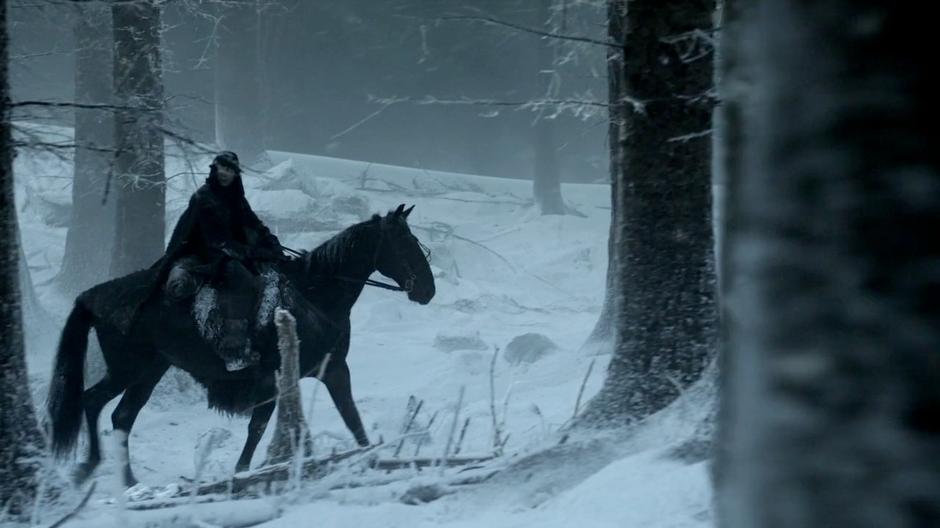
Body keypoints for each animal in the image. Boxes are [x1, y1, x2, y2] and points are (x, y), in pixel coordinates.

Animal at [46, 204, 436, 484]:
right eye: (404, 243)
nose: (428, 290)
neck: (314, 296)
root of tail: (93, 296)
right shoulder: (286, 376)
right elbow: (263, 426)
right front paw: (244, 471)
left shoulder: (328, 371)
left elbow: (348, 417)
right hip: (130, 367)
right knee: (95, 402)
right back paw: (96, 468)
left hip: (151, 368)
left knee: (121, 414)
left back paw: (122, 478)